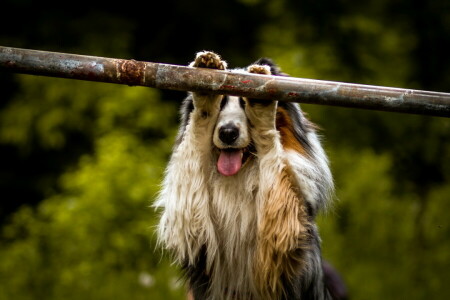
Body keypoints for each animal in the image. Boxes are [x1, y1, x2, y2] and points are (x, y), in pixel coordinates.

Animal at [155, 52, 338, 300]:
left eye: (244, 102)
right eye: (222, 102)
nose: (228, 133)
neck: (240, 175)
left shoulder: (283, 238)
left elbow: (271, 152)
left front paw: (261, 110)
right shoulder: (193, 233)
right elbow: (195, 135)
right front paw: (205, 97)